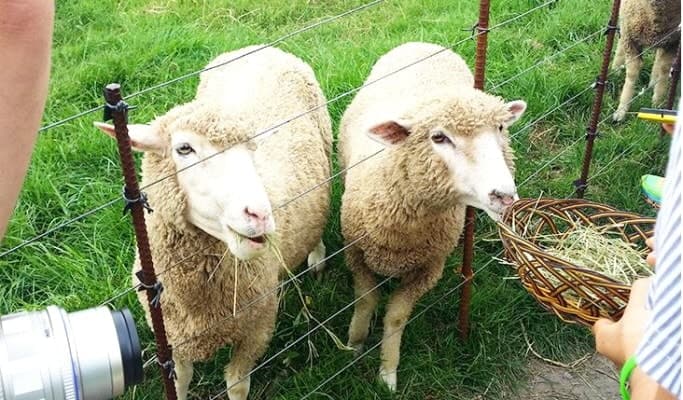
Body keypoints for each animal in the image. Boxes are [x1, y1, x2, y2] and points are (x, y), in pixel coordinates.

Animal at [95, 45, 332, 400]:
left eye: (251, 148)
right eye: (184, 148)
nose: (261, 215)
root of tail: (258, 47)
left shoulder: (257, 327)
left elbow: (237, 383)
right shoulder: (172, 334)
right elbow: (180, 380)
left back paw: (316, 256)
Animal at [338, 42, 526, 391]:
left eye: (500, 128)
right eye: (439, 137)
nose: (504, 195)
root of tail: (425, 43)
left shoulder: (428, 268)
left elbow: (396, 317)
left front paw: (387, 373)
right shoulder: (356, 253)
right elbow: (366, 300)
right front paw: (353, 344)